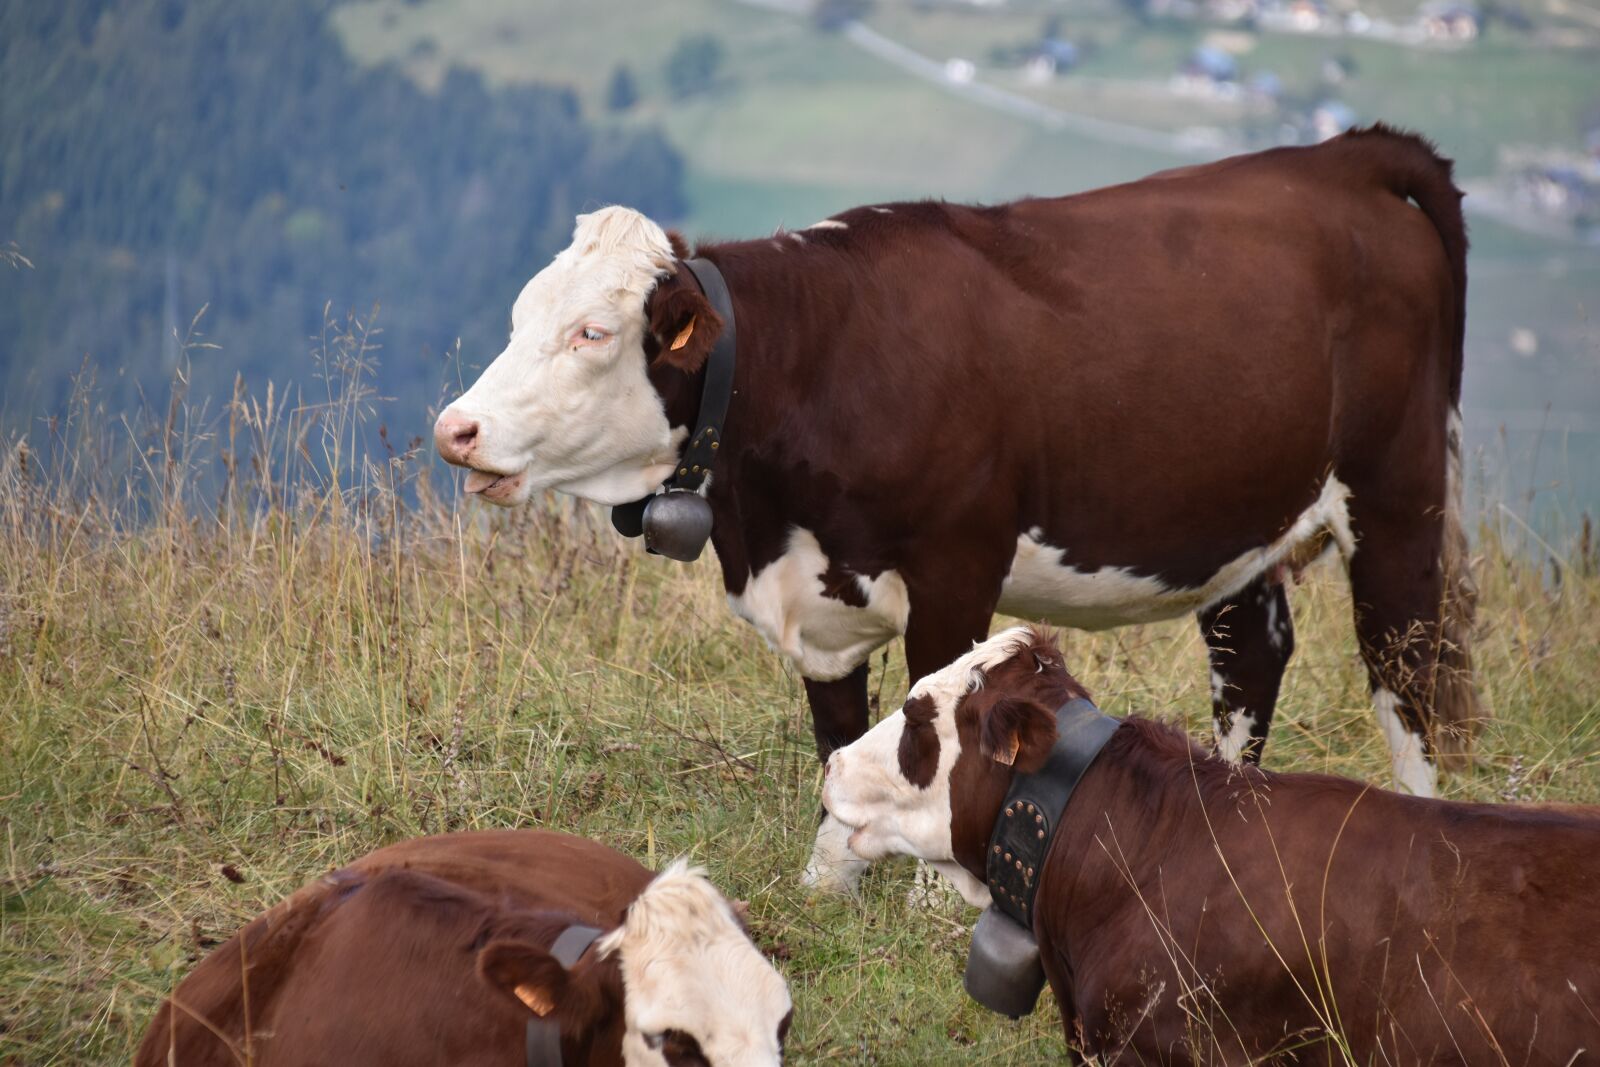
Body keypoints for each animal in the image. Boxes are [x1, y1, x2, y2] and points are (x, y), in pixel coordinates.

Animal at [433, 126, 1481, 890]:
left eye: (592, 332)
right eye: (519, 318)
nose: (457, 429)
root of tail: (1342, 154)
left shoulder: (955, 569)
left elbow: (938, 724)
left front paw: (937, 894)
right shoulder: (817, 597)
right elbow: (836, 740)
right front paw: (830, 885)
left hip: (1397, 497)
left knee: (1408, 671)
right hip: (1236, 519)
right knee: (1251, 657)